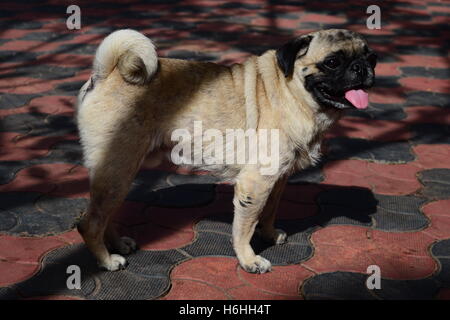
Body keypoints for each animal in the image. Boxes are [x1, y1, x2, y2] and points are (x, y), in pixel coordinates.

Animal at [76, 28, 376, 272]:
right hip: (117, 170)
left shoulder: (276, 181)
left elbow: (269, 212)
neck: (290, 91)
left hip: (121, 174)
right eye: (333, 62)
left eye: (371, 58)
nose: (362, 68)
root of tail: (106, 73)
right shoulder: (254, 185)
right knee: (90, 223)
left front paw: (268, 235)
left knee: (106, 215)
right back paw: (107, 261)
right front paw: (249, 260)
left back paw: (118, 245)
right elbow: (245, 227)